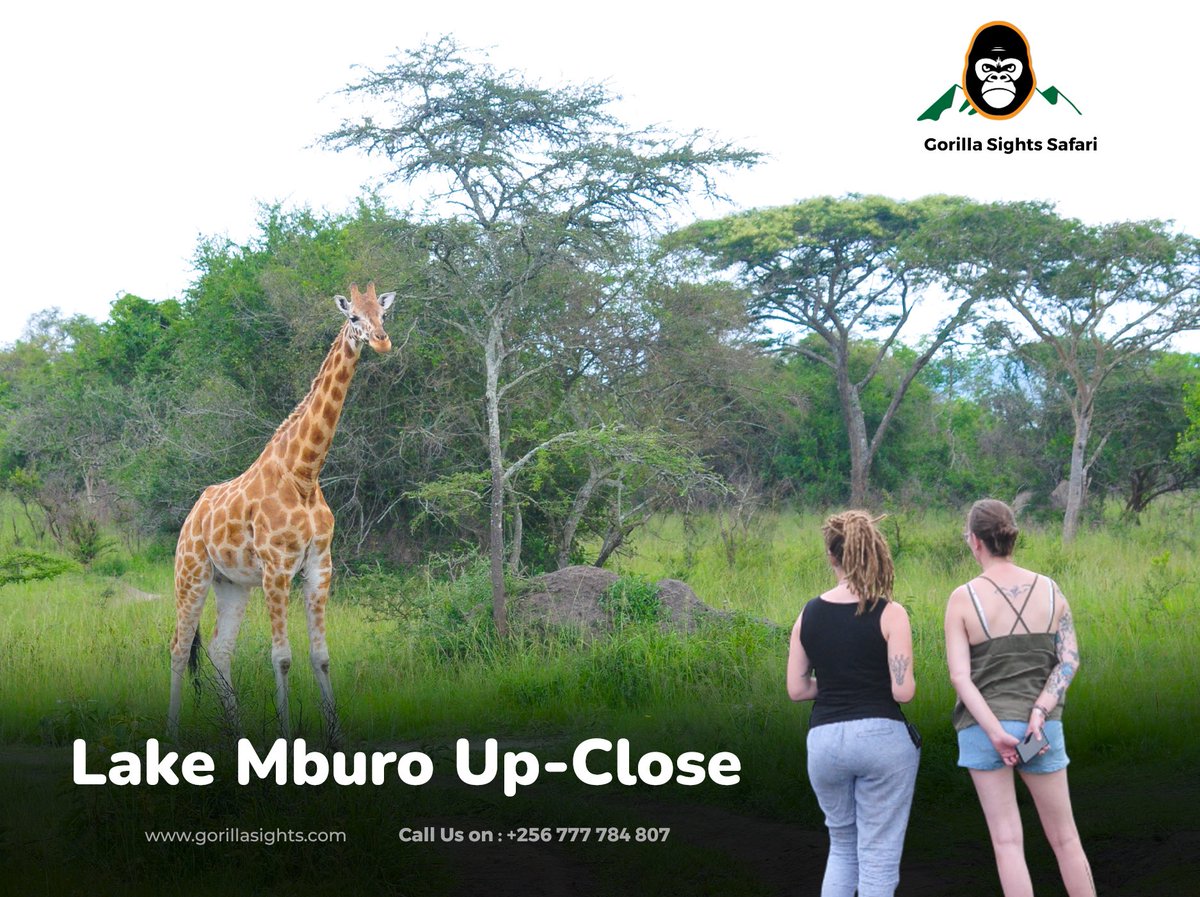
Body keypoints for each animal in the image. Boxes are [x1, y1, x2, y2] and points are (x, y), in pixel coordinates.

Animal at [167, 282, 396, 741]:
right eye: (353, 318)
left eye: (383, 315)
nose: (382, 342)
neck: (303, 473)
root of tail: (191, 516)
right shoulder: (277, 567)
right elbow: (283, 657)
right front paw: (286, 737)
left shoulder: (320, 565)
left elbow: (321, 655)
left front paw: (336, 737)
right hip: (191, 573)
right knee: (179, 648)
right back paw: (171, 734)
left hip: (232, 584)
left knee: (219, 649)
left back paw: (237, 734)